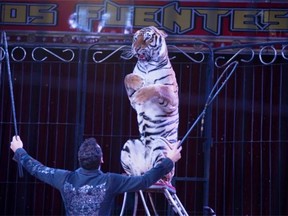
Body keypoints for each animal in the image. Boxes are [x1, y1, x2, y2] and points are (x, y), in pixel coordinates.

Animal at [119, 25, 178, 184]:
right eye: (135, 38)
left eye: (147, 38)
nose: (136, 48)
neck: (147, 66)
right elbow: (127, 77)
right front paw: (138, 81)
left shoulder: (172, 98)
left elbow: (157, 87)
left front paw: (141, 93)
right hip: (129, 144)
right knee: (139, 175)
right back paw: (131, 176)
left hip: (160, 143)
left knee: (163, 173)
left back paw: (160, 179)